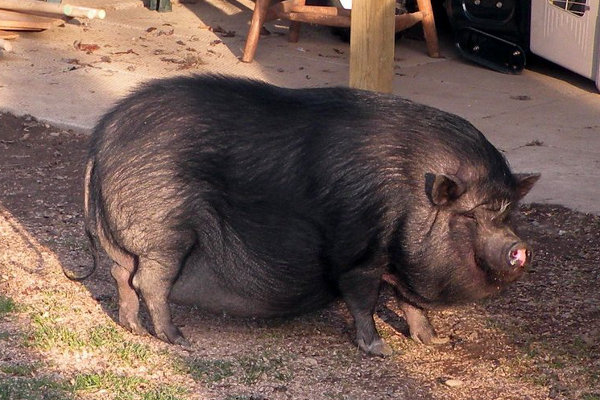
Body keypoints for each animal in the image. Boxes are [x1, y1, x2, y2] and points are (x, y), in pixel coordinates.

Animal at [83, 75, 540, 356]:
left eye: (507, 213)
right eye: (471, 217)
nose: (519, 249)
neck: (412, 196)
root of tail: (100, 142)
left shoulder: (404, 263)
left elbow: (410, 303)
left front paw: (435, 341)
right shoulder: (361, 255)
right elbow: (363, 299)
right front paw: (379, 349)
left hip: (128, 241)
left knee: (121, 275)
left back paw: (132, 327)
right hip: (164, 233)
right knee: (149, 282)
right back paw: (178, 339)